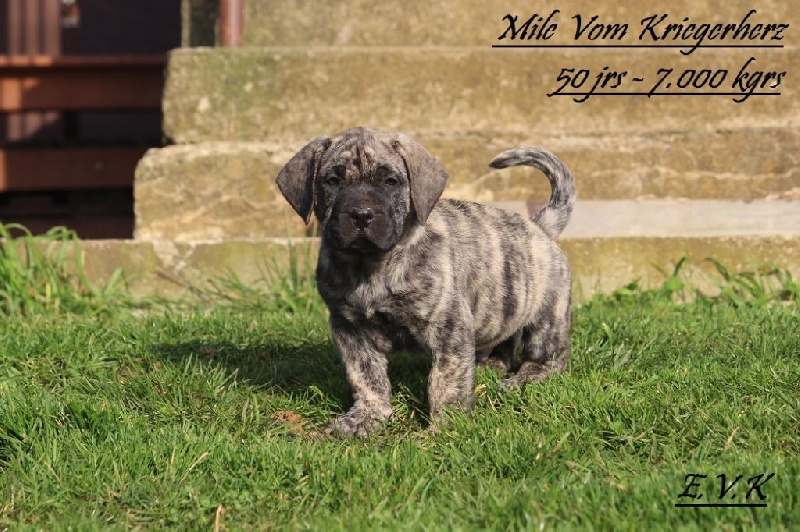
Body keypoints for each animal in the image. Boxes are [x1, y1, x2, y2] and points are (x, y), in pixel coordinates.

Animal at [276, 127, 576, 437]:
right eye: (332, 181)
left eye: (390, 181)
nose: (361, 214)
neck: (370, 267)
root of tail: (540, 227)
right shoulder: (349, 329)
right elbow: (366, 377)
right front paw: (366, 417)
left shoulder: (449, 327)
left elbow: (445, 380)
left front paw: (448, 425)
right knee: (505, 340)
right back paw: (488, 366)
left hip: (547, 318)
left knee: (551, 356)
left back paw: (525, 378)